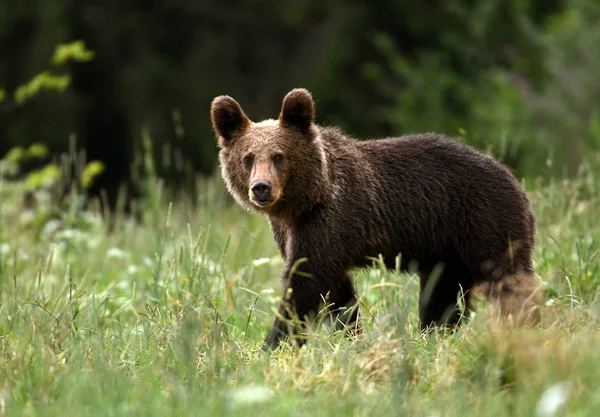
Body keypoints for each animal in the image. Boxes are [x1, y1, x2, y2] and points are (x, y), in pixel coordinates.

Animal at [212, 88, 544, 352]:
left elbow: (306, 283)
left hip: (483, 219)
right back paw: (435, 334)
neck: (307, 199)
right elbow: (337, 293)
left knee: (507, 276)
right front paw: (351, 335)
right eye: (247, 158)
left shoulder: (331, 217)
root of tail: (516, 181)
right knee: (443, 295)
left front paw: (271, 346)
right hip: (446, 249)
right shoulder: (293, 231)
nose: (261, 188)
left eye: (279, 155)